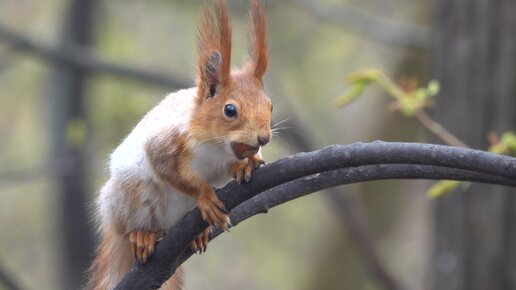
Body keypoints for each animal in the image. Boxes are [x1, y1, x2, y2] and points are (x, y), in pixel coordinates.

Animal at [85, 1, 270, 288]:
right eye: (230, 110)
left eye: (270, 105)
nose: (264, 138)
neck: (217, 147)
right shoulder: (167, 141)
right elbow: (168, 169)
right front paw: (205, 196)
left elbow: (234, 166)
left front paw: (247, 164)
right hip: (131, 195)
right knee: (130, 226)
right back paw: (142, 235)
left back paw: (197, 234)